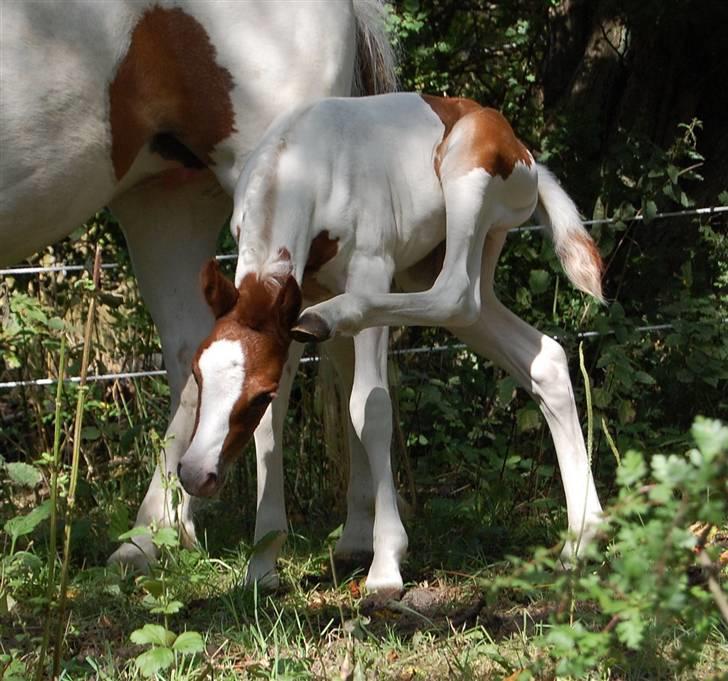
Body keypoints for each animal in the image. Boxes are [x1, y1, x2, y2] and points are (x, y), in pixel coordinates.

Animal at [176, 93, 604, 592]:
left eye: (255, 393)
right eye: (198, 374)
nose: (195, 474)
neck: (302, 163)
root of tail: (524, 151)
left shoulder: (369, 270)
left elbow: (370, 407)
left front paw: (385, 567)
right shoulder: (295, 305)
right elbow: (275, 423)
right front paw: (261, 566)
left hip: (465, 176)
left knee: (456, 295)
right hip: (444, 261)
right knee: (543, 357)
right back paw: (583, 539)